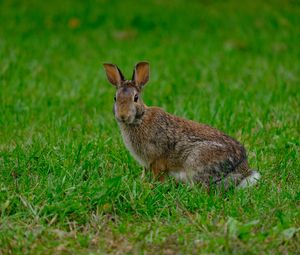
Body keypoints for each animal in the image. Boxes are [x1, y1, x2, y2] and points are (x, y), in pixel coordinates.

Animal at [103, 61, 260, 189]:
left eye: (135, 98)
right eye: (115, 98)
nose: (122, 115)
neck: (140, 119)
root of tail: (243, 171)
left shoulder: (157, 159)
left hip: (196, 161)